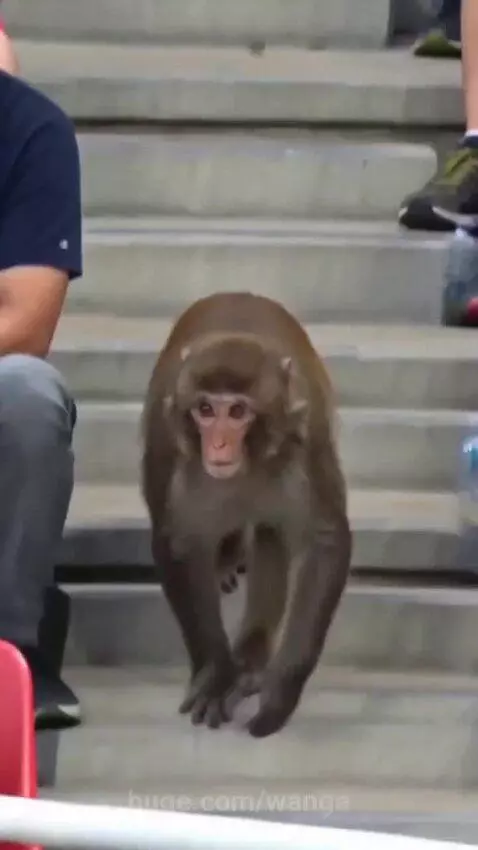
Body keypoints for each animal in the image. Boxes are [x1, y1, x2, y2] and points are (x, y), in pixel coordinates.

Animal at [141, 292, 351, 739]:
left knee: (270, 534)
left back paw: (251, 661)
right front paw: (215, 674)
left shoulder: (306, 444)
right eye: (205, 408)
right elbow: (178, 544)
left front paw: (280, 693)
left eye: (238, 412)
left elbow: (325, 542)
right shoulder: (175, 451)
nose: (218, 445)